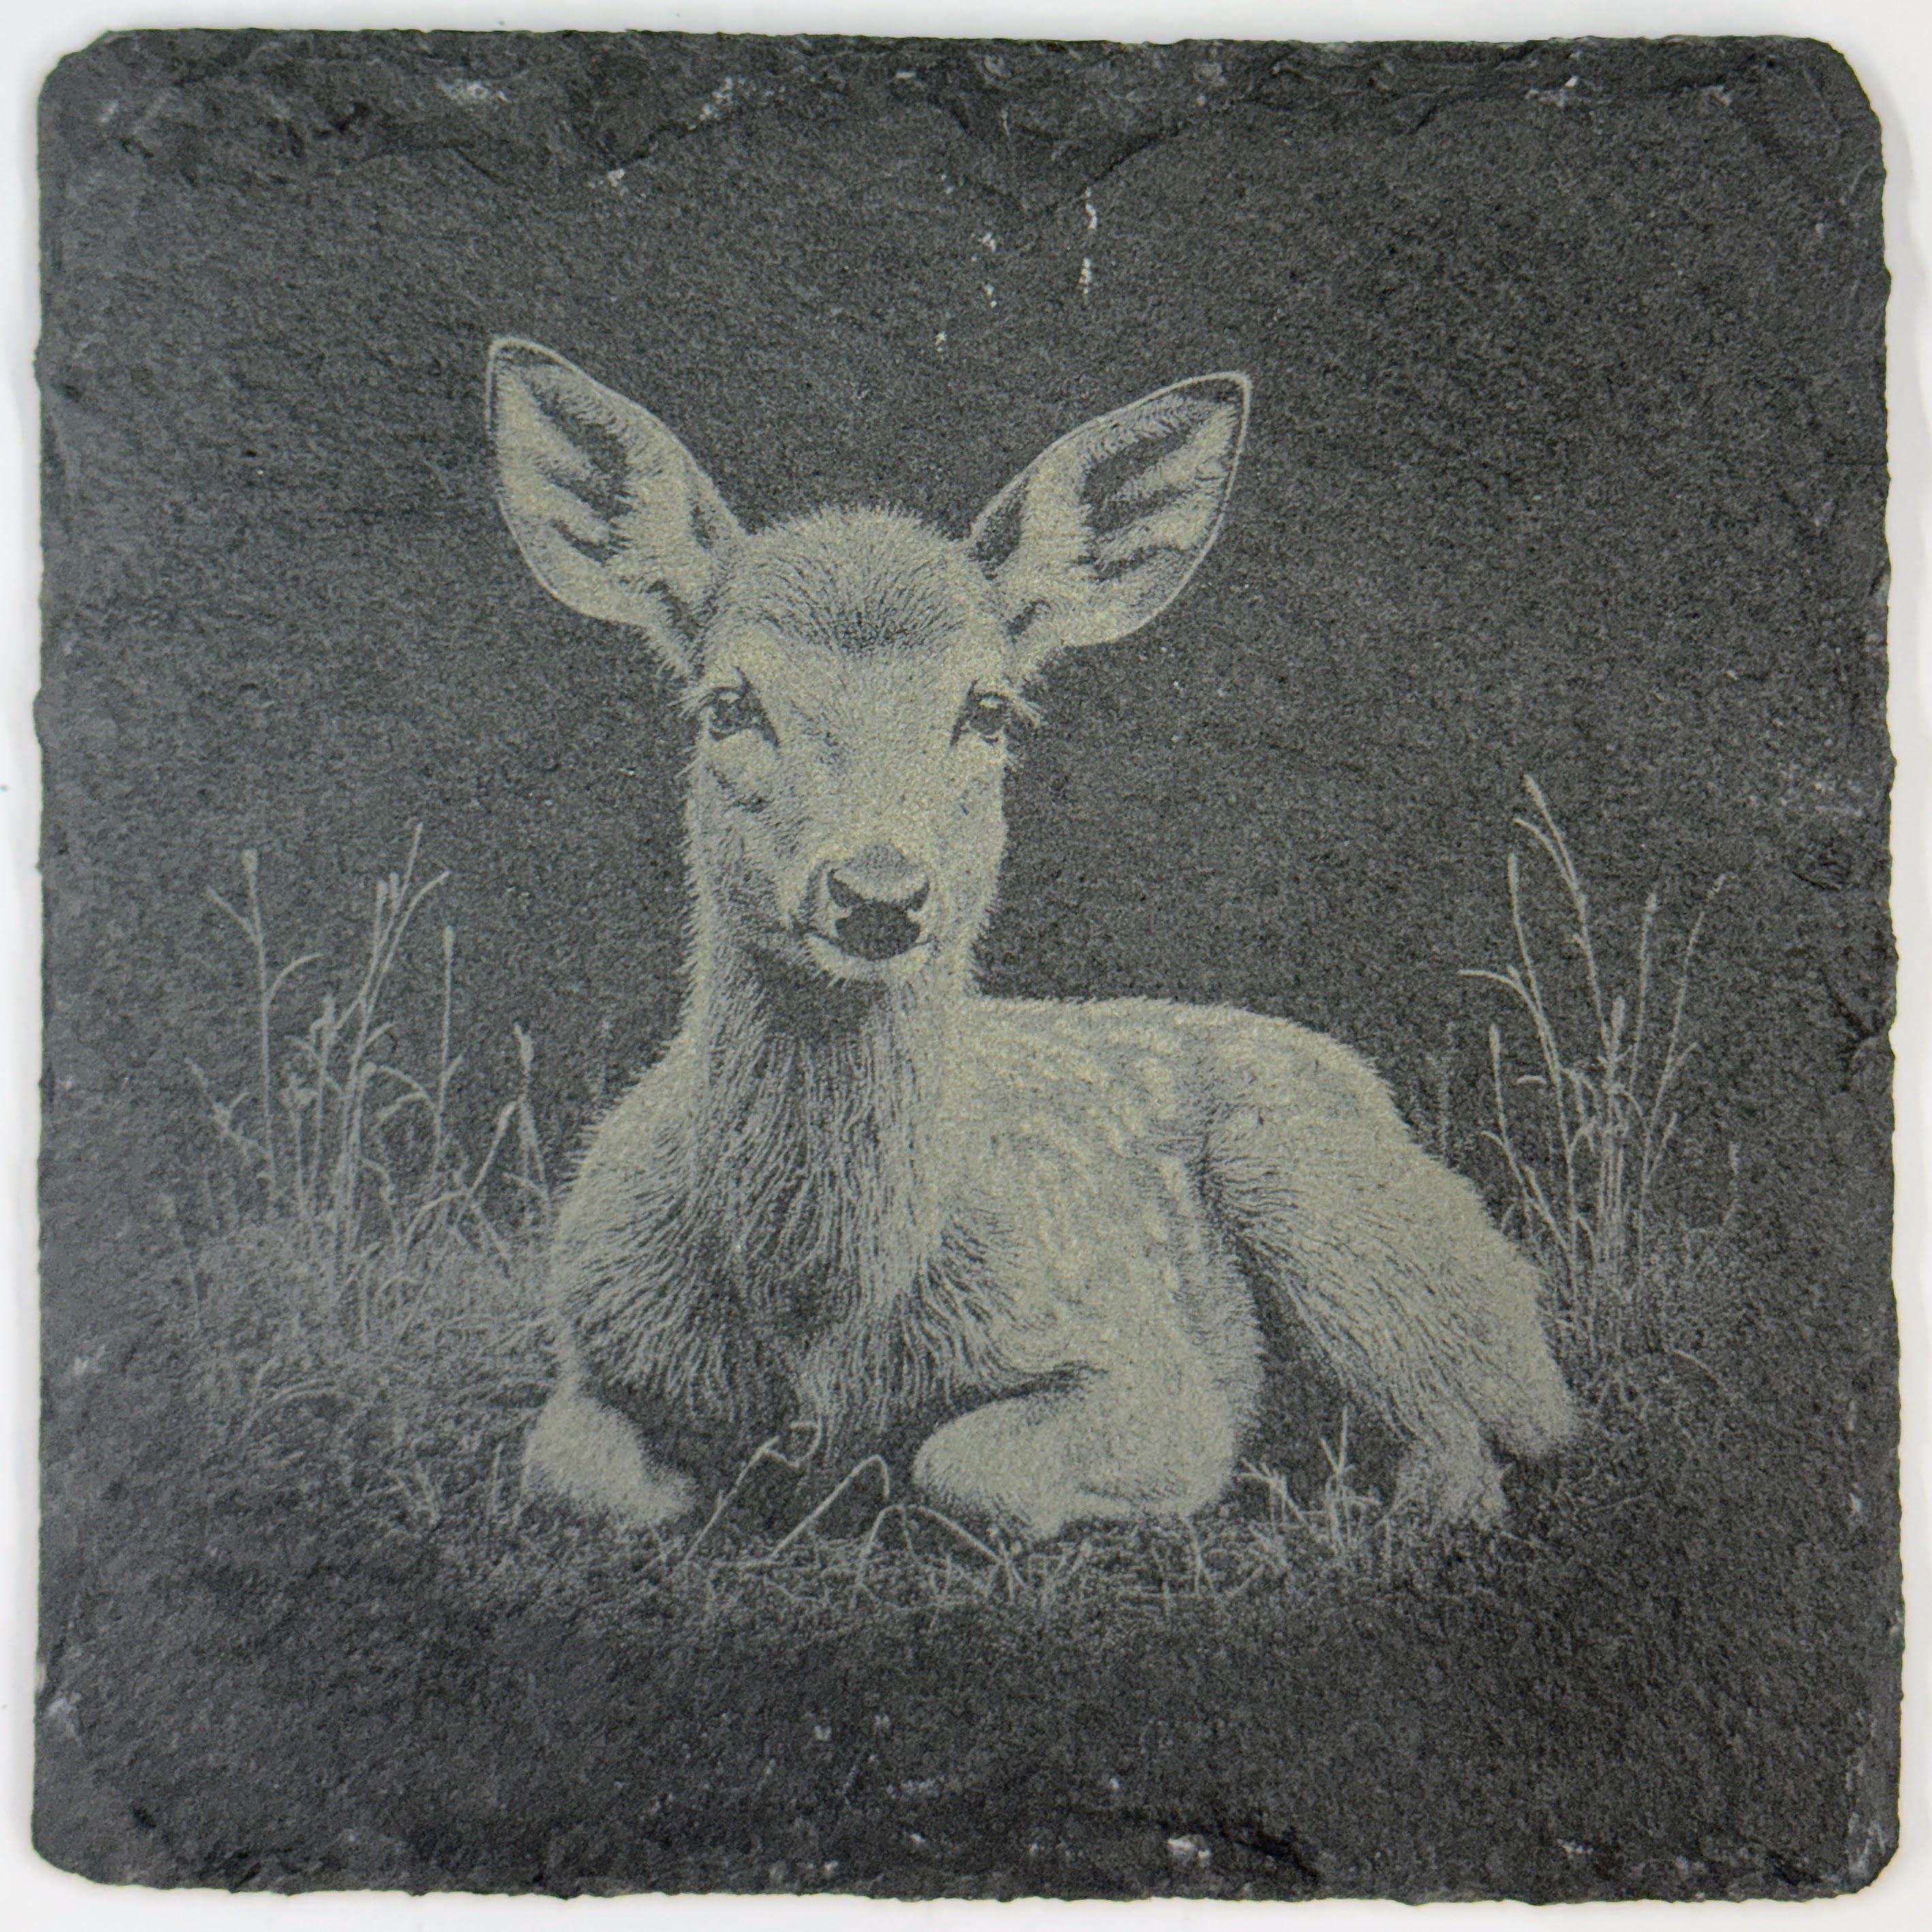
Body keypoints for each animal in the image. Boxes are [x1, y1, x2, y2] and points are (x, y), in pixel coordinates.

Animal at [487, 338, 1577, 1542]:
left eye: (988, 708)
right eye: (729, 702)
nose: (877, 891)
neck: (818, 1320)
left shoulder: (1147, 1366)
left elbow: (970, 1465)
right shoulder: (593, 1339)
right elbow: (572, 1469)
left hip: (1339, 1209)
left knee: (1493, 1433)